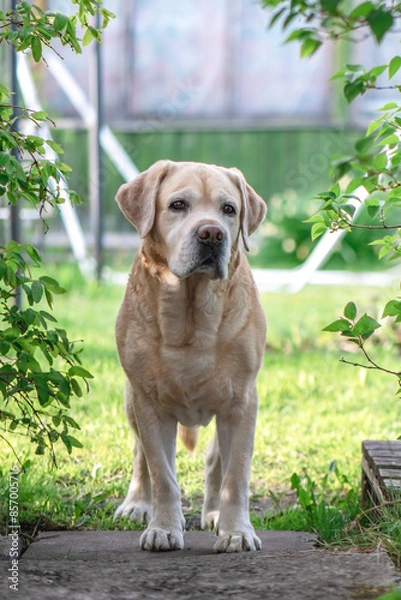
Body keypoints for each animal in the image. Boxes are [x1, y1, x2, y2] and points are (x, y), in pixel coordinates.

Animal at [114, 159, 268, 552]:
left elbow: (236, 475)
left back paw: (213, 513)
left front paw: (236, 531)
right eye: (178, 205)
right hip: (130, 399)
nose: (212, 234)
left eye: (229, 209)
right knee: (140, 455)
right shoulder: (149, 402)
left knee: (216, 460)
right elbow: (162, 472)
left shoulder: (242, 402)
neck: (191, 317)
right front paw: (164, 528)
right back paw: (138, 503)